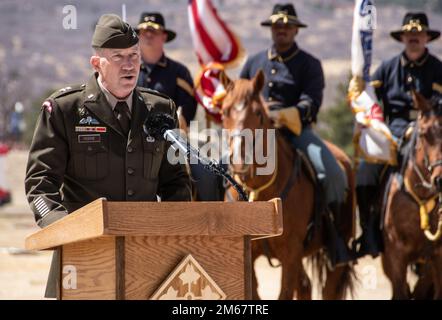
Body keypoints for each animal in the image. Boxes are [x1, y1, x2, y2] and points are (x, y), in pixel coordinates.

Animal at [221, 70, 356, 300]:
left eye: (258, 113)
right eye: (224, 111)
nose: (240, 160)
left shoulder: (291, 254)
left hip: (337, 252)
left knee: (329, 289)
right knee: (305, 286)